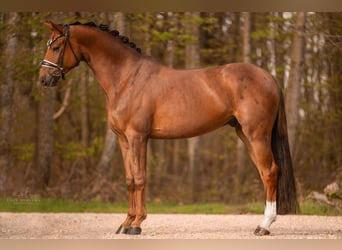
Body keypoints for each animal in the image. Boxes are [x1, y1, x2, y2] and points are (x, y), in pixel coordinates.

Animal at [38, 21, 298, 236]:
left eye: (56, 46)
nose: (43, 79)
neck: (127, 78)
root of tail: (269, 77)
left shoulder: (138, 137)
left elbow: (140, 178)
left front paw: (136, 225)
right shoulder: (123, 139)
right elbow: (130, 179)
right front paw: (126, 223)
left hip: (257, 135)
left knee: (270, 171)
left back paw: (264, 226)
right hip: (244, 134)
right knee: (265, 173)